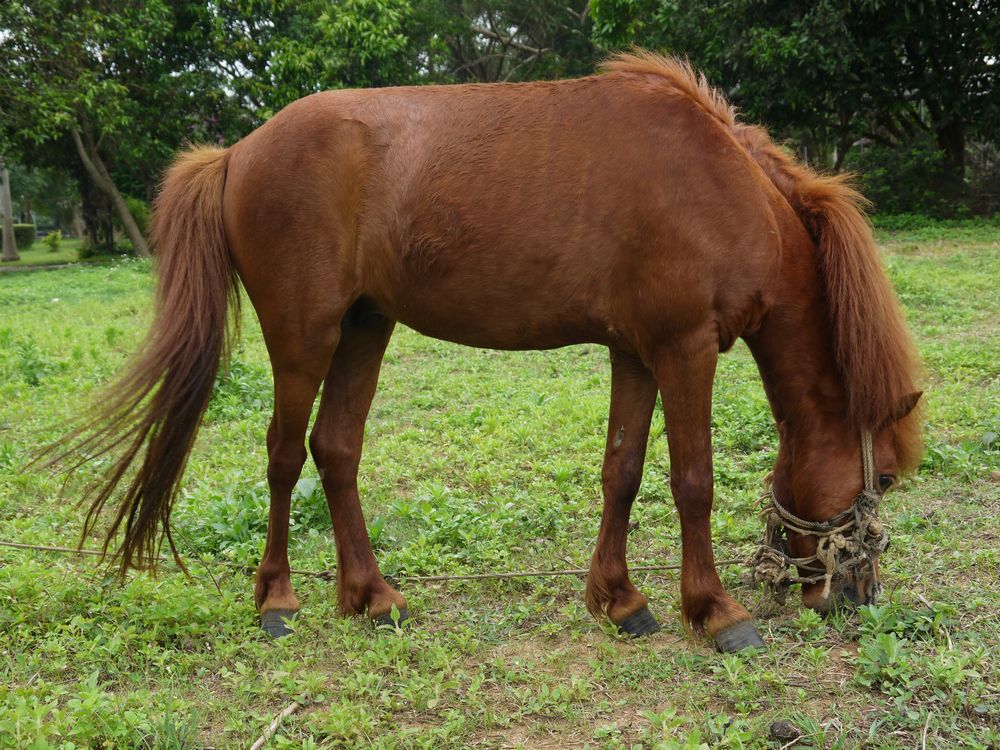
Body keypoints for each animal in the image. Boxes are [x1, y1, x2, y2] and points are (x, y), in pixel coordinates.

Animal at [62, 53, 920, 652]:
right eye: (883, 480)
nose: (856, 595)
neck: (724, 189)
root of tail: (237, 152)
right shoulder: (686, 350)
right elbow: (693, 482)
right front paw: (715, 612)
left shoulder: (636, 352)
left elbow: (623, 471)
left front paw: (620, 601)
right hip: (304, 336)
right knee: (282, 455)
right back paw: (277, 600)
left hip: (365, 329)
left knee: (334, 451)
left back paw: (371, 597)